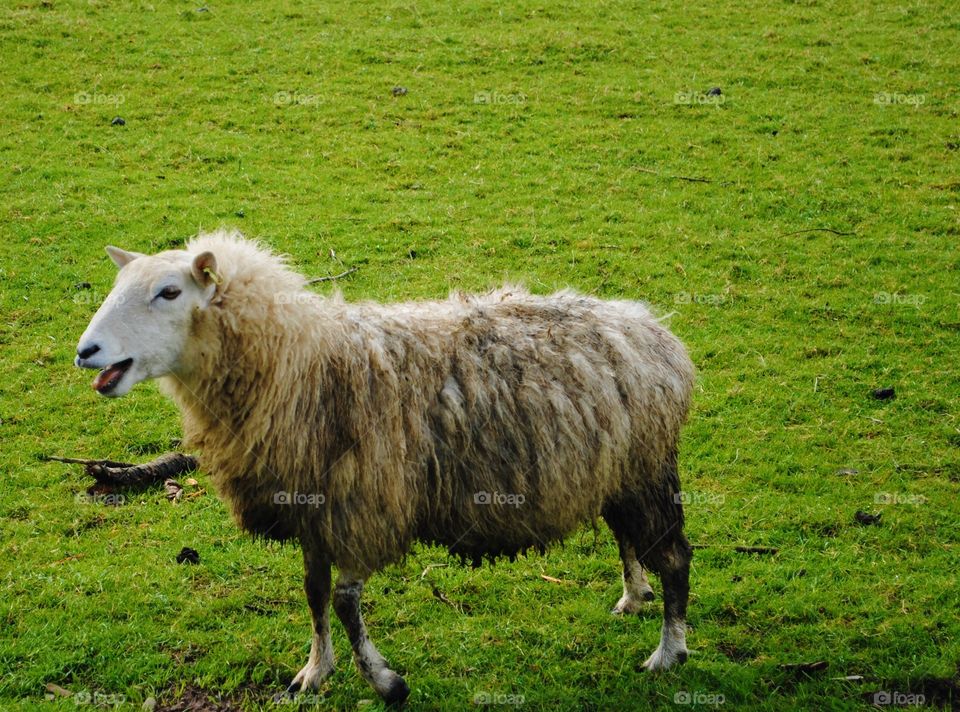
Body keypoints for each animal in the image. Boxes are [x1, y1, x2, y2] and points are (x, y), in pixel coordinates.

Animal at [74, 230, 695, 705]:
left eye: (169, 291)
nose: (86, 351)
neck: (299, 364)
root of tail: (654, 331)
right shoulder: (314, 512)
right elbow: (314, 593)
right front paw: (314, 671)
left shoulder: (363, 508)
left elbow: (345, 603)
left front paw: (384, 681)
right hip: (615, 472)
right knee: (627, 538)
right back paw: (632, 597)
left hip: (647, 470)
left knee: (673, 557)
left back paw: (668, 652)